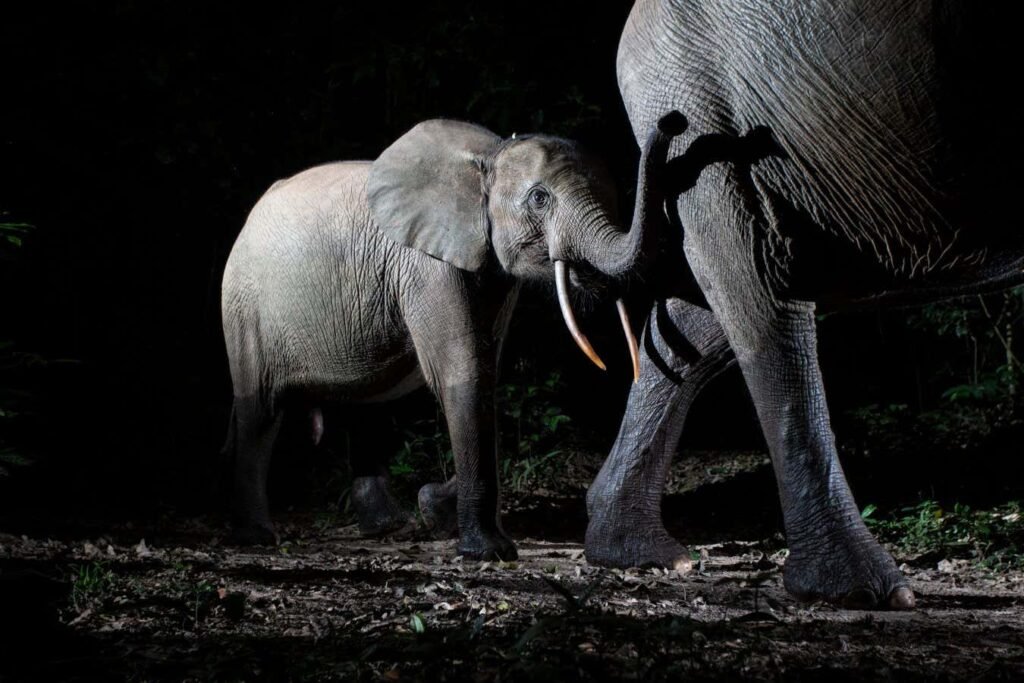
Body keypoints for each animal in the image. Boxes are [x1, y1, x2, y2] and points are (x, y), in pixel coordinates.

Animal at [221, 117, 678, 560]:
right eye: (539, 198)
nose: (672, 123)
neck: (490, 156)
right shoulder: (425, 265)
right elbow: (464, 373)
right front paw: (489, 552)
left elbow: (486, 375)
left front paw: (433, 508)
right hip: (243, 303)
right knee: (259, 409)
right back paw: (256, 538)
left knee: (365, 402)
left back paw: (389, 528)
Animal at [584, 0, 1024, 608]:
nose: (670, 125)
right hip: (710, 106)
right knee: (763, 292)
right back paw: (861, 590)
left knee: (708, 318)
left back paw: (639, 552)